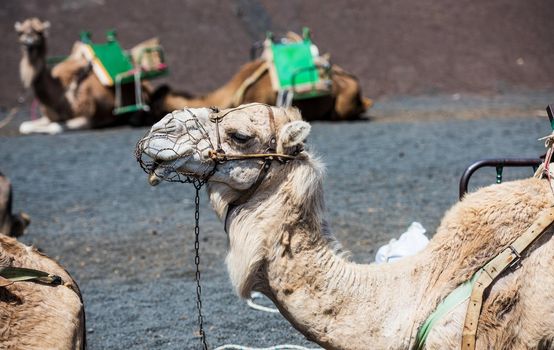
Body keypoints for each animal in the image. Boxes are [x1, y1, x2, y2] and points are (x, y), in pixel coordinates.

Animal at [15, 17, 152, 135]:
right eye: (20, 33)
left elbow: (55, 127)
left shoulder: (86, 118)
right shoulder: (50, 117)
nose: (28, 43)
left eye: (39, 32)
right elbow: (24, 126)